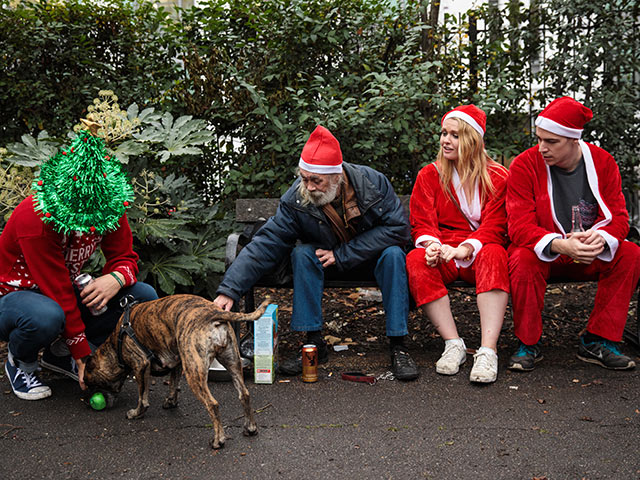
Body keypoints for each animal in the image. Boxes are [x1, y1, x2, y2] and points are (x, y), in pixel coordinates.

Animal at [82, 292, 268, 450]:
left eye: (91, 384)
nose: (91, 399)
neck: (116, 344)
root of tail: (213, 314)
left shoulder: (140, 366)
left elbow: (142, 397)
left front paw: (136, 413)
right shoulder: (177, 361)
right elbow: (173, 383)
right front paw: (171, 401)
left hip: (194, 372)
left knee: (212, 404)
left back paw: (218, 440)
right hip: (232, 362)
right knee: (244, 394)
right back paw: (250, 428)